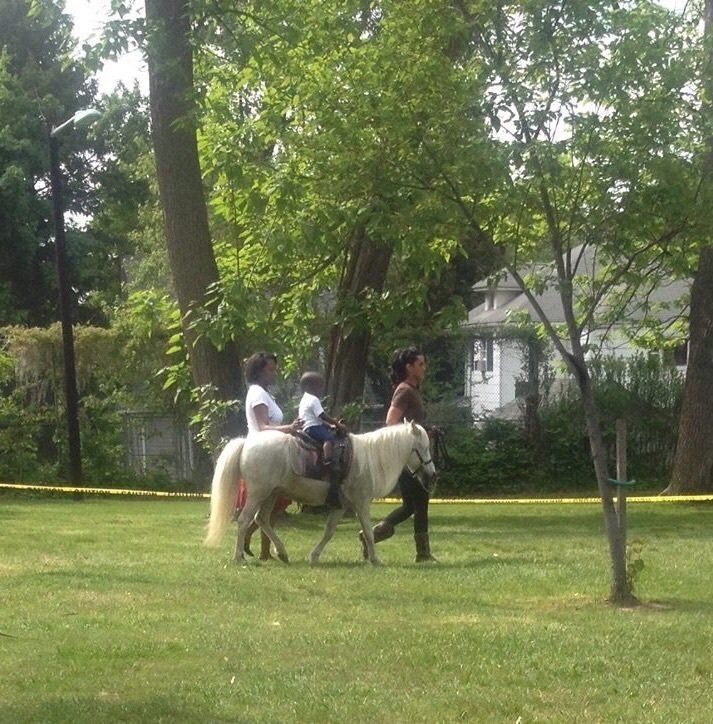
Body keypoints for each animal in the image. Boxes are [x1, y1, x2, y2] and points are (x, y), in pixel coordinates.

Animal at [204, 421, 436, 566]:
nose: (432, 475)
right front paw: (375, 559)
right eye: (423, 448)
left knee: (261, 520)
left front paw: (314, 556)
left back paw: (282, 552)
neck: (367, 460)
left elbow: (329, 531)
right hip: (257, 494)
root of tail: (247, 443)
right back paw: (239, 557)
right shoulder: (361, 502)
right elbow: (368, 532)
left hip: (271, 494)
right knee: (245, 520)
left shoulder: (341, 506)